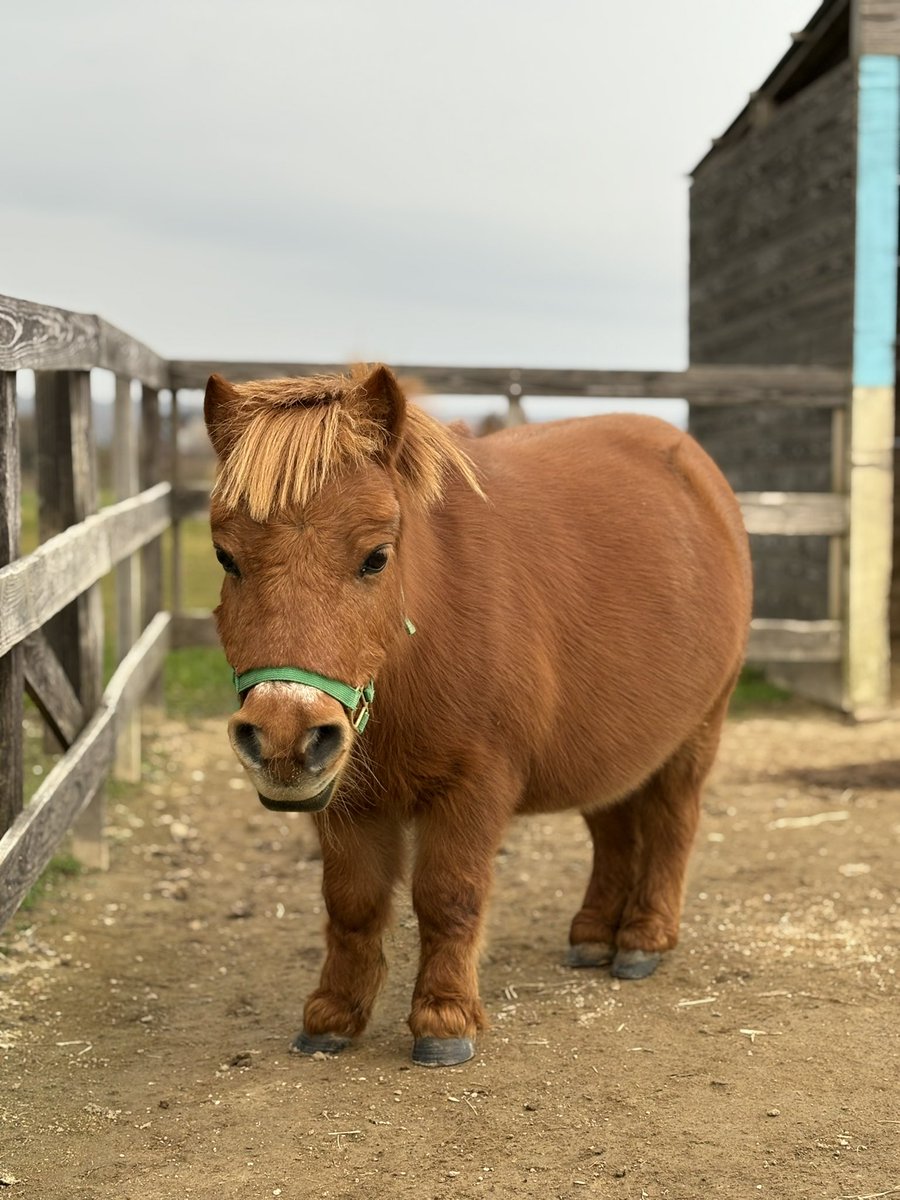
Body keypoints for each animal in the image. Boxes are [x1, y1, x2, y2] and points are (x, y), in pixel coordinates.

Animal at [204, 364, 752, 1067]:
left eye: (376, 556)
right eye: (226, 556)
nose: (282, 738)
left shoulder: (475, 787)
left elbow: (449, 896)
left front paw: (445, 1020)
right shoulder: (347, 801)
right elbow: (352, 903)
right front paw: (333, 1015)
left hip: (698, 732)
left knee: (672, 823)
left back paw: (644, 938)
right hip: (608, 748)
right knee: (613, 830)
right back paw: (595, 933)